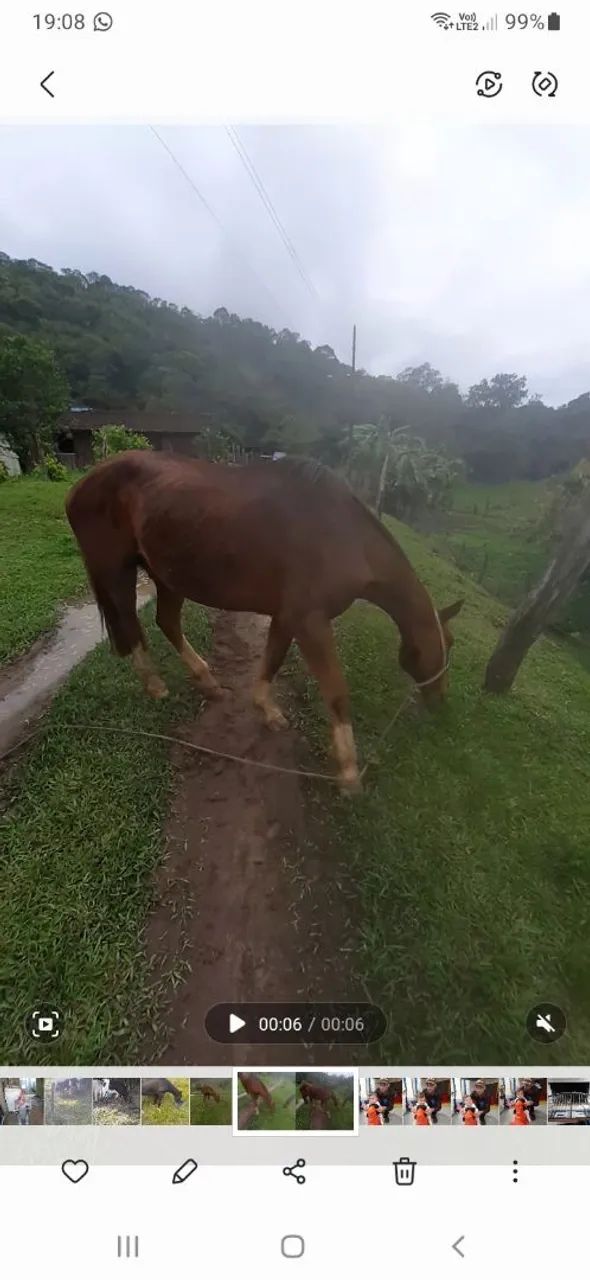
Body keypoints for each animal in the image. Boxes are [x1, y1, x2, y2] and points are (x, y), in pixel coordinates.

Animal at [66, 451, 463, 792]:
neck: (344, 536)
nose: (441, 700)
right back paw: (155, 685)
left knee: (167, 622)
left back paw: (207, 680)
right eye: (449, 644)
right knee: (131, 623)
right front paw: (349, 772)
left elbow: (272, 661)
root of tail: (80, 485)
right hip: (116, 572)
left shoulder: (288, 618)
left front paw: (266, 710)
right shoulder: (310, 622)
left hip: (168, 576)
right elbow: (336, 691)